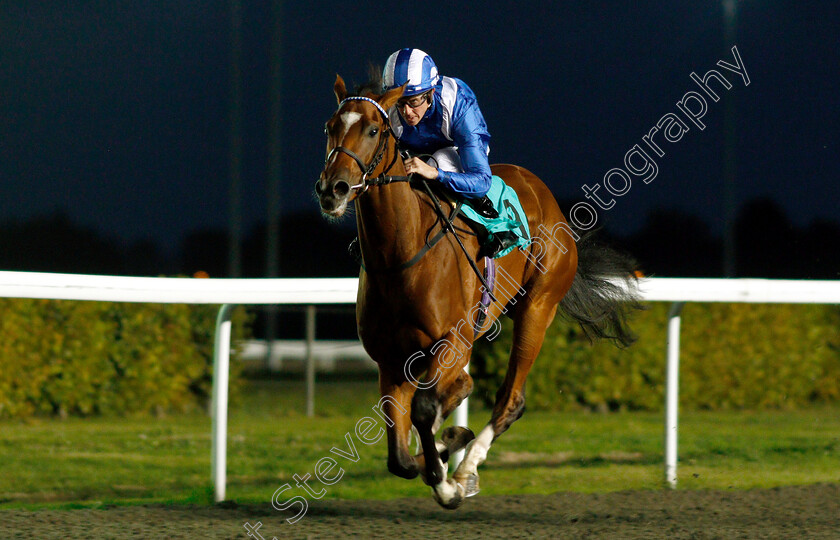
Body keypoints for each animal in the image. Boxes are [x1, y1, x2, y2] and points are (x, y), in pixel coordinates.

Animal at [316, 74, 636, 508]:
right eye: (330, 127)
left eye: (373, 130)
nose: (333, 188)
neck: (400, 256)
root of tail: (543, 194)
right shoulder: (390, 358)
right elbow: (400, 457)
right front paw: (438, 456)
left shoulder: (451, 340)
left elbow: (424, 410)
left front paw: (448, 477)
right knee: (463, 393)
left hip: (538, 307)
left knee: (510, 400)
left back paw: (466, 469)